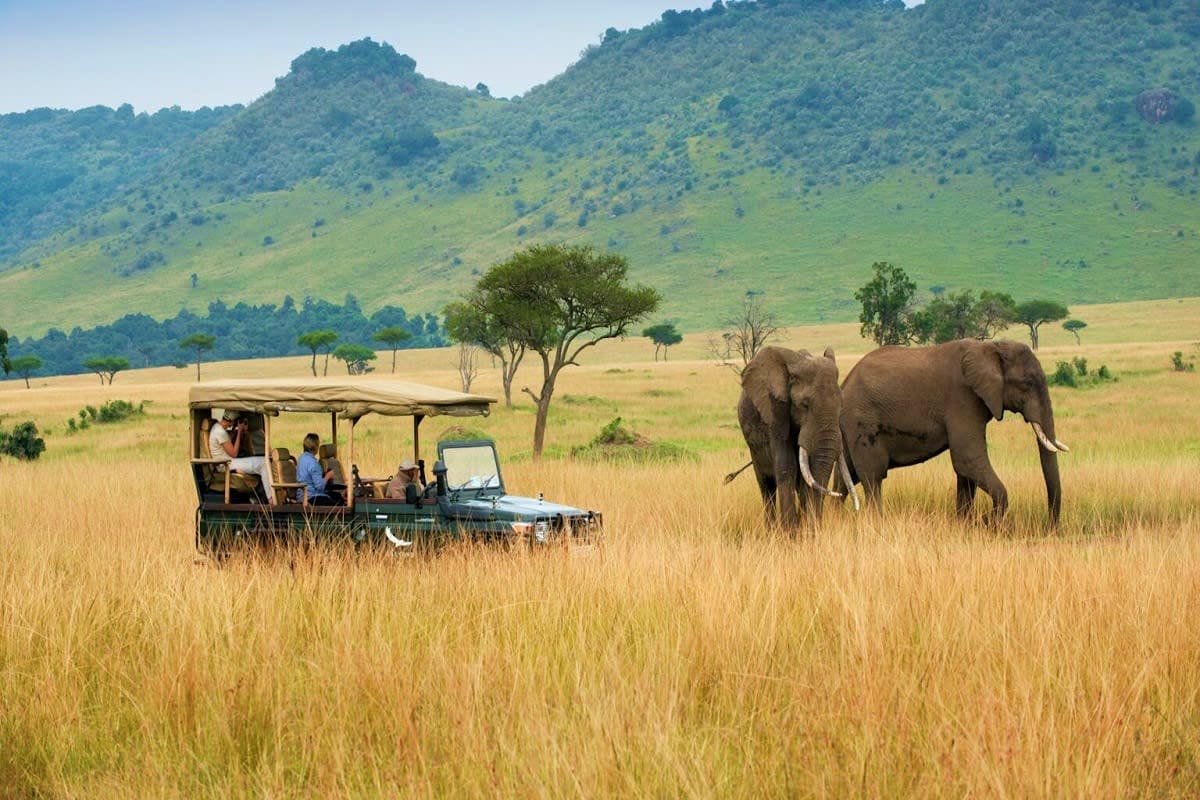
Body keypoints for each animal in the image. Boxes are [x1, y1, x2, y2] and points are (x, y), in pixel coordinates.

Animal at [734, 346, 858, 528]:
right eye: (804, 405)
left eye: (841, 406)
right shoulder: (776, 412)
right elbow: (787, 465)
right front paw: (790, 533)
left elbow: (808, 475)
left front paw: (806, 530)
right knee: (766, 487)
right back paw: (771, 529)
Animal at [838, 338, 1068, 524]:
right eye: (1028, 383)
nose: (1050, 528)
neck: (991, 347)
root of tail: (844, 384)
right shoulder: (963, 398)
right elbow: (967, 459)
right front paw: (990, 524)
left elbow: (966, 470)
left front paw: (965, 524)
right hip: (862, 420)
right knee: (873, 477)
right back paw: (876, 522)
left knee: (845, 478)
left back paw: (834, 517)